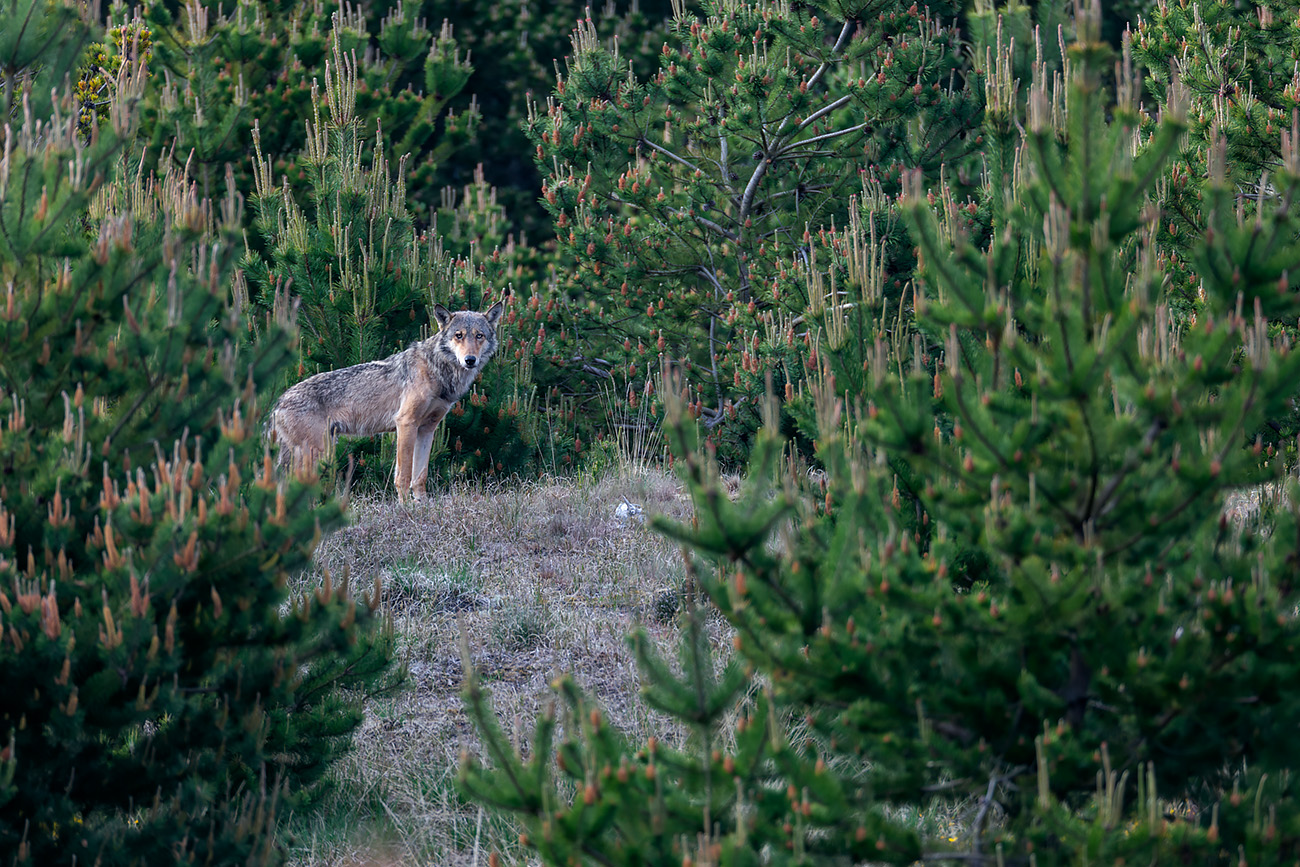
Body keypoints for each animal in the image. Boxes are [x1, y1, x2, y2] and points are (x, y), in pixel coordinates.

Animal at [266, 298, 504, 501]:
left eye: (479, 336)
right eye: (459, 335)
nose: (470, 360)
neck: (436, 369)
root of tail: (278, 402)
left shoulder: (426, 430)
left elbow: (420, 476)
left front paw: (423, 506)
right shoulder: (405, 423)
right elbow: (403, 476)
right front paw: (406, 510)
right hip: (317, 454)